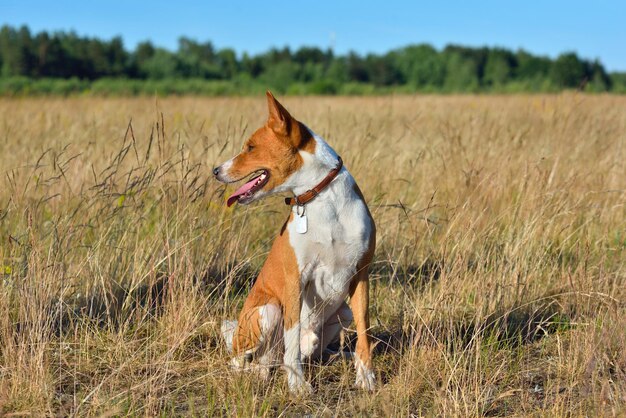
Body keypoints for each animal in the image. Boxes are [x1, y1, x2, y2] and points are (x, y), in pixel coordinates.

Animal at [212, 91, 372, 396]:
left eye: (250, 147)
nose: (215, 170)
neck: (320, 197)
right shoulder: (295, 278)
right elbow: (293, 337)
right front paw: (297, 384)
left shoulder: (360, 275)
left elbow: (364, 334)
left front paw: (366, 376)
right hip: (267, 311)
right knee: (246, 362)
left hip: (343, 312)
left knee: (314, 350)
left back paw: (333, 353)